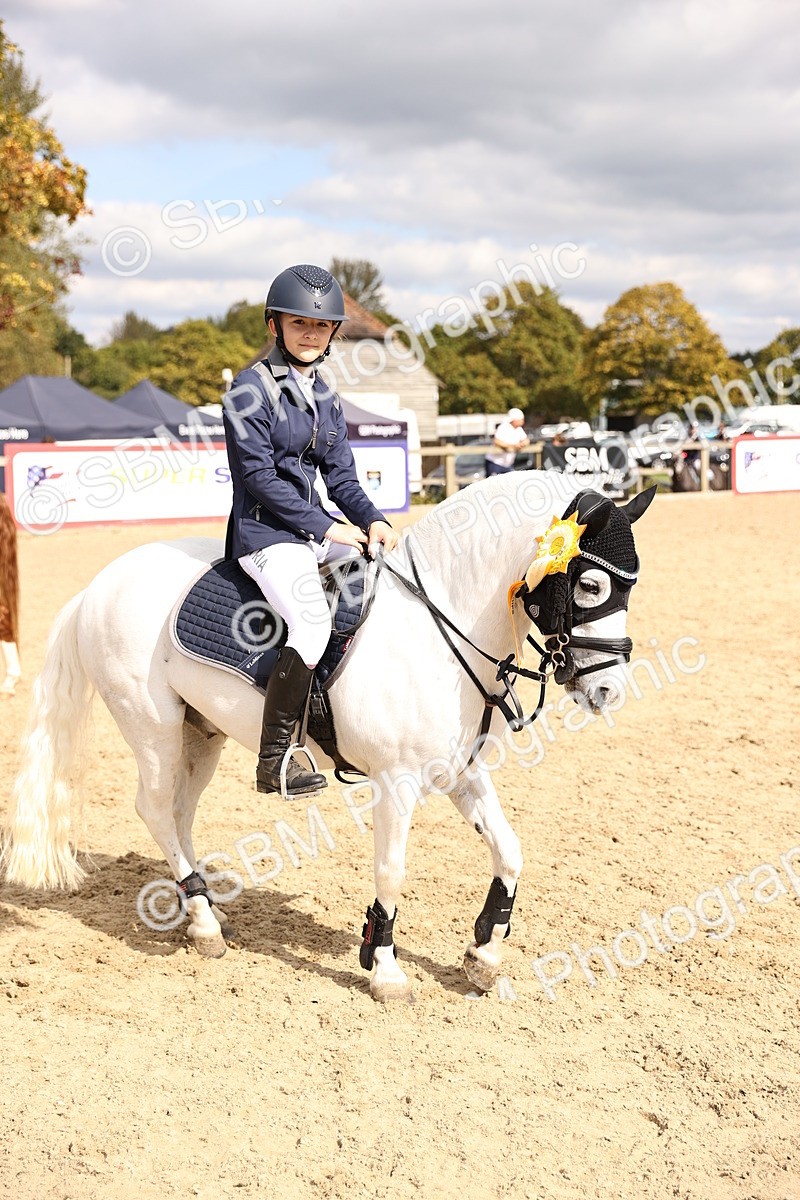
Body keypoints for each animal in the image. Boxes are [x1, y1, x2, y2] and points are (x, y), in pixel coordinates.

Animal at [1, 471, 655, 1001]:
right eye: (592, 586)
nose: (609, 690)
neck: (437, 629)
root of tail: (99, 585)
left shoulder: (462, 773)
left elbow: (510, 851)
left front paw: (483, 955)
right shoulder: (395, 784)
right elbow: (391, 870)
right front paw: (386, 971)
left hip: (200, 733)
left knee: (180, 813)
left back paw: (199, 910)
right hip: (152, 726)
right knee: (157, 808)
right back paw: (206, 924)